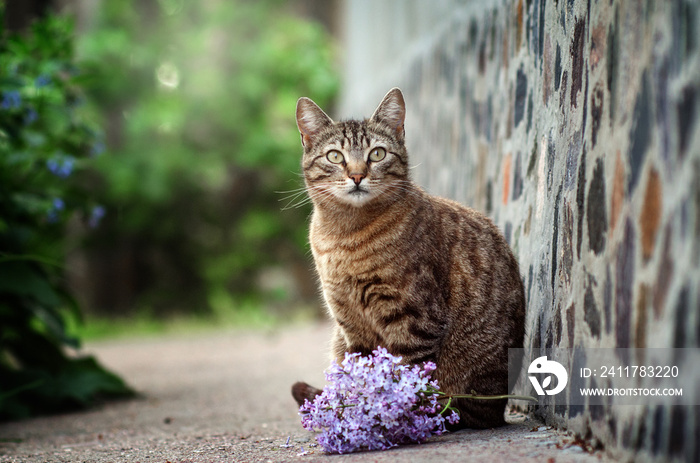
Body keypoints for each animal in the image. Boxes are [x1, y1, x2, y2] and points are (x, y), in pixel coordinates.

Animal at [290, 89, 524, 430]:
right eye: (335, 156)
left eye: (377, 154)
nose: (357, 174)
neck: (345, 236)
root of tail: (499, 412)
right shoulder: (351, 324)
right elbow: (363, 373)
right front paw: (362, 412)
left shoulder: (413, 318)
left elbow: (407, 376)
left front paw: (396, 414)